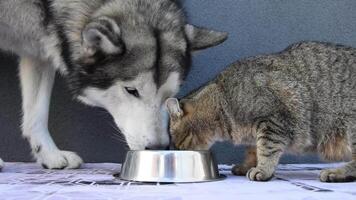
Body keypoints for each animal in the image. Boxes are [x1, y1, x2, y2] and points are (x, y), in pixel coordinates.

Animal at [0, 0, 228, 170]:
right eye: (131, 90)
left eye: (170, 96)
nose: (158, 147)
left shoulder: (39, 51)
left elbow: (37, 112)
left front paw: (49, 154)